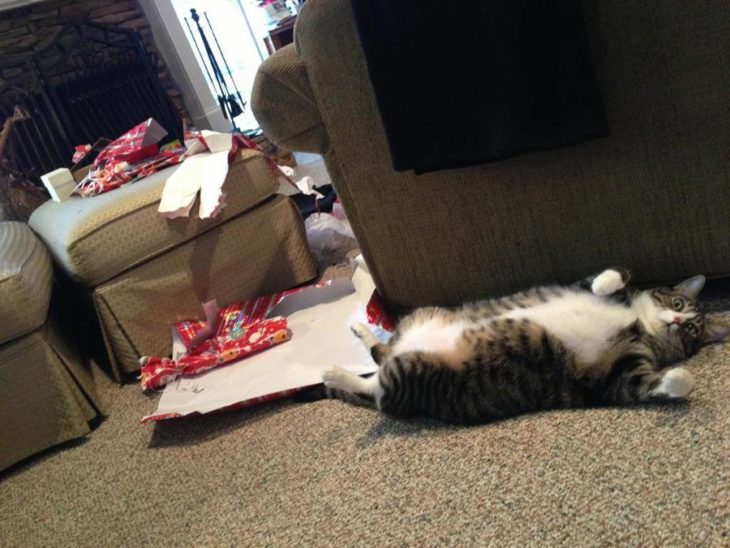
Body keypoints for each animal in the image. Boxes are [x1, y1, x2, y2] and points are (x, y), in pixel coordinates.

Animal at [322, 268, 724, 424]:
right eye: (677, 303)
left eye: (691, 328)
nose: (676, 322)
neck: (637, 322)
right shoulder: (581, 283)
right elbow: (615, 275)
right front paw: (606, 284)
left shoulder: (618, 376)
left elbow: (664, 383)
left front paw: (678, 377)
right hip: (420, 317)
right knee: (380, 360)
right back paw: (359, 333)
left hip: (411, 373)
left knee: (378, 388)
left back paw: (335, 373)